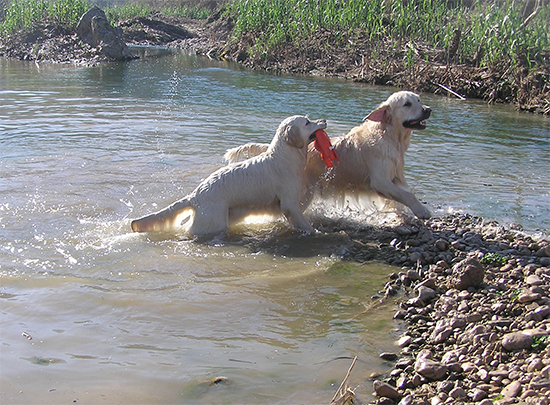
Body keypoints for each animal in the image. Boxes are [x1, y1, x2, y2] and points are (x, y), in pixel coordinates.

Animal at [226, 90, 434, 219]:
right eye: (407, 104)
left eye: (418, 99)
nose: (428, 109)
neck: (390, 136)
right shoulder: (380, 181)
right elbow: (407, 195)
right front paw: (421, 211)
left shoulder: (395, 176)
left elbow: (403, 194)